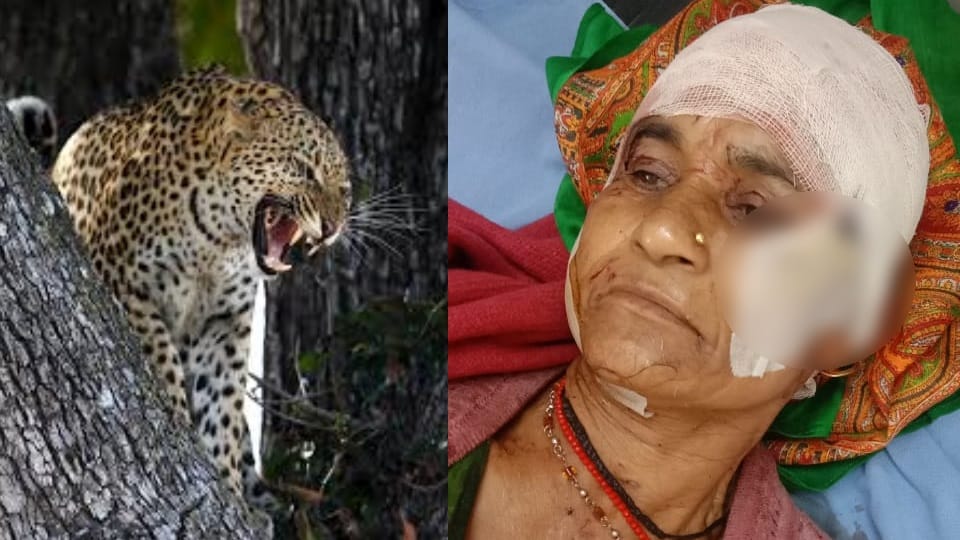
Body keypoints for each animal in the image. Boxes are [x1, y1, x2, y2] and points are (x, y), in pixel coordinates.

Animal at [44, 65, 352, 511]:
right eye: (303, 168)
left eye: (344, 190)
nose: (332, 227)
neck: (220, 239)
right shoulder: (122, 280)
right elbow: (159, 352)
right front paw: (174, 414)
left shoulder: (225, 323)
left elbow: (222, 407)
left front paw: (227, 487)